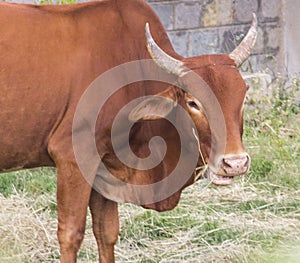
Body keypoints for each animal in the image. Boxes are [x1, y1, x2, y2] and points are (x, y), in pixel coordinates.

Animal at [0, 1, 255, 262]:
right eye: (193, 102)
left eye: (243, 96)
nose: (235, 163)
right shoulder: (73, 157)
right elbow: (70, 234)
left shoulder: (106, 167)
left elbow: (106, 232)